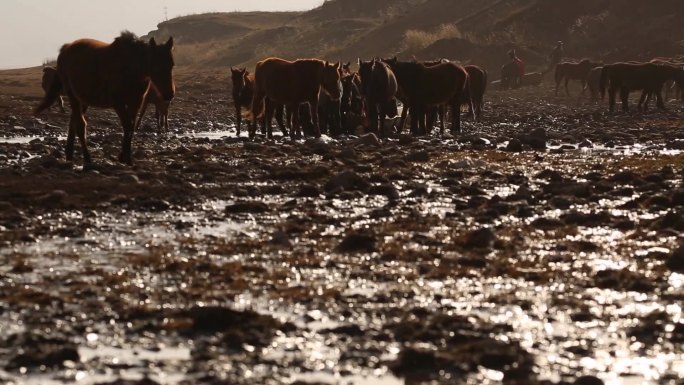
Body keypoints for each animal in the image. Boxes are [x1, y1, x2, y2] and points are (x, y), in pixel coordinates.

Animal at [35, 31, 175, 165]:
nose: (169, 94)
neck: (130, 68)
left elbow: (131, 127)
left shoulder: (135, 103)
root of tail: (66, 48)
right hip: (73, 96)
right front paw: (125, 157)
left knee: (73, 123)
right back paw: (87, 158)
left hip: (83, 100)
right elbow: (127, 126)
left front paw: (125, 156)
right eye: (156, 66)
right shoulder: (118, 103)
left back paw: (69, 154)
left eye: (172, 65)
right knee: (80, 125)